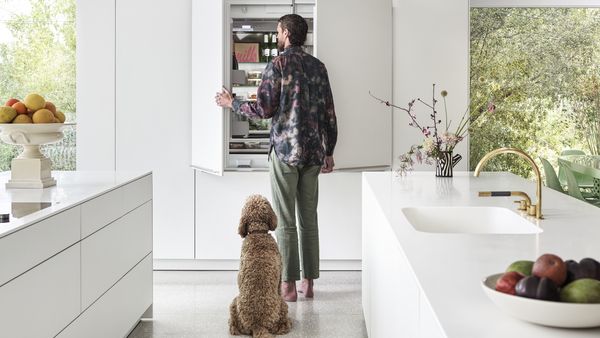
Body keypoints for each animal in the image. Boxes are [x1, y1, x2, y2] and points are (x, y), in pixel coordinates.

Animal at [229, 194, 292, 336]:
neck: (258, 232)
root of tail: (257, 325)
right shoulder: (279, 277)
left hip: (234, 303)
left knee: (233, 326)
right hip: (282, 304)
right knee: (282, 326)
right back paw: (288, 323)